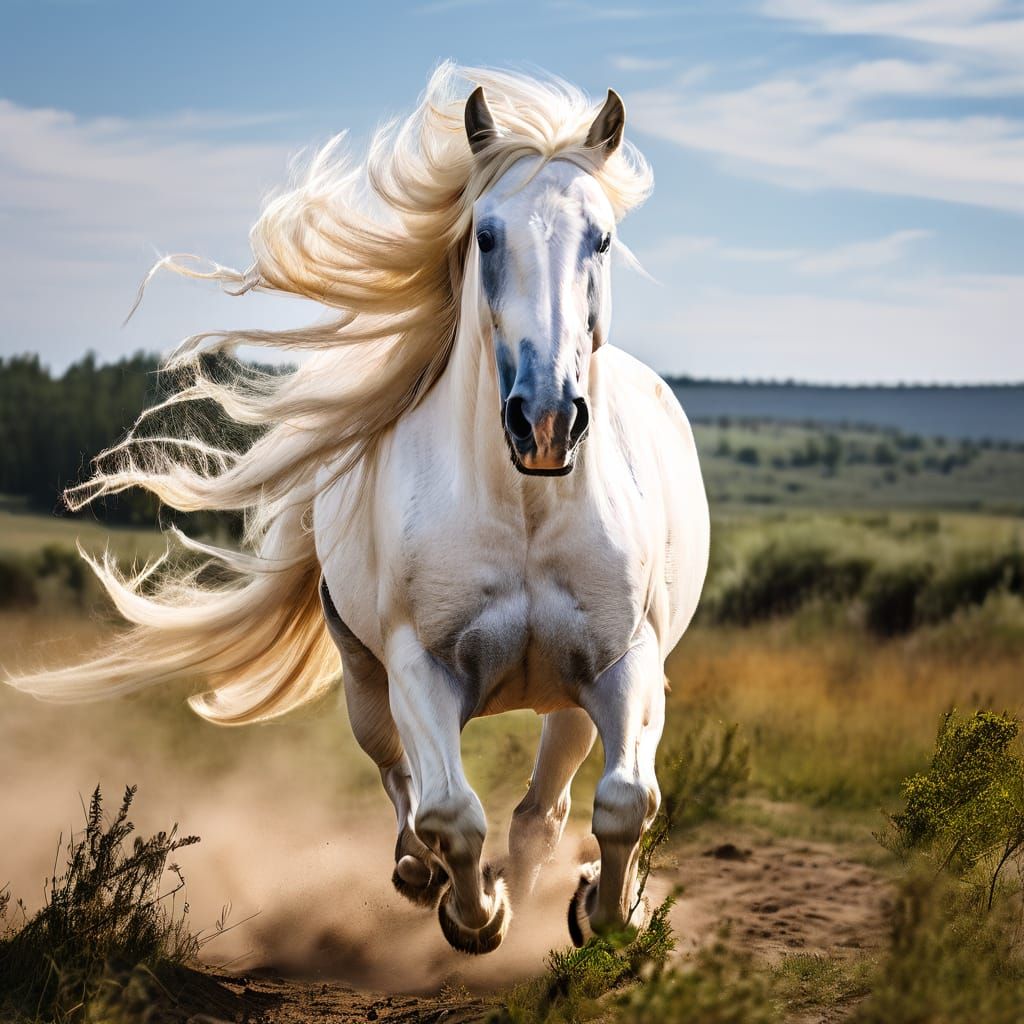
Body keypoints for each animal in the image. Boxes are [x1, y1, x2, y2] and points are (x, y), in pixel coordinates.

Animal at [6, 65, 709, 956]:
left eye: (602, 238)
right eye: (486, 236)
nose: (547, 419)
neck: (524, 511)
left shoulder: (624, 661)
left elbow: (623, 802)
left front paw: (608, 912)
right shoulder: (419, 668)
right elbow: (451, 812)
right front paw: (474, 918)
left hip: (568, 700)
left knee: (542, 809)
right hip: (365, 680)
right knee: (405, 786)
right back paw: (420, 874)